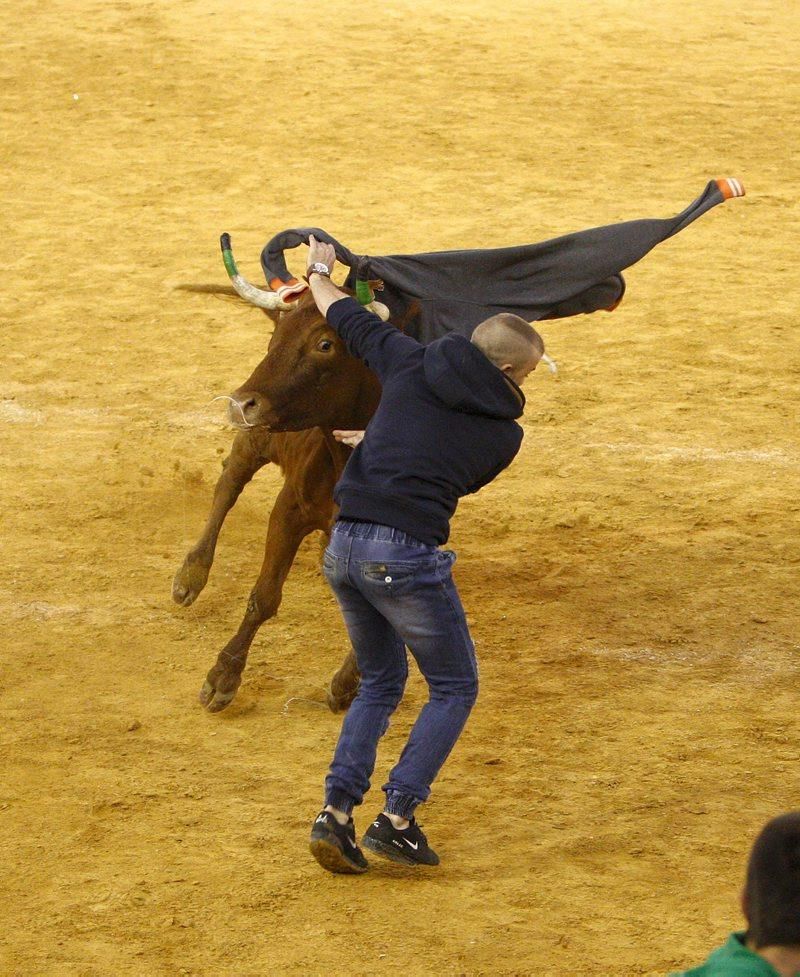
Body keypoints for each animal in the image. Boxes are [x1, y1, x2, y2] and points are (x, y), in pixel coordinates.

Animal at [171, 294, 382, 712]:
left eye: (325, 344)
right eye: (276, 336)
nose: (241, 403)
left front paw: (346, 685)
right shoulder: (288, 512)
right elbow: (264, 595)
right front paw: (222, 677)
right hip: (256, 439)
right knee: (228, 484)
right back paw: (190, 576)